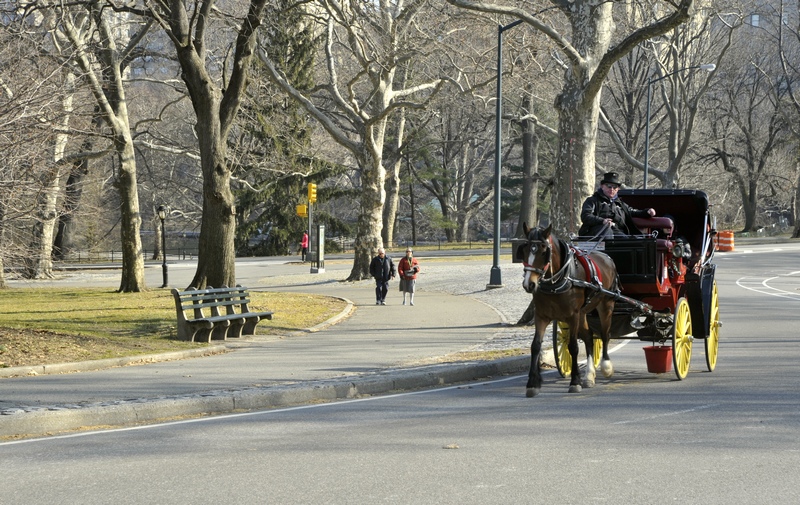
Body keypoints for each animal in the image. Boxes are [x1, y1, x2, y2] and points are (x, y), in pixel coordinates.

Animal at [520, 222, 620, 396]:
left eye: (544, 251)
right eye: (525, 250)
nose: (529, 284)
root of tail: (607, 257)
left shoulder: (572, 316)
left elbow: (573, 346)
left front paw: (575, 382)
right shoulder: (541, 316)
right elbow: (536, 346)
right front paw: (532, 384)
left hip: (605, 306)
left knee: (605, 335)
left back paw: (606, 366)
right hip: (583, 313)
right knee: (589, 337)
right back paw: (589, 375)